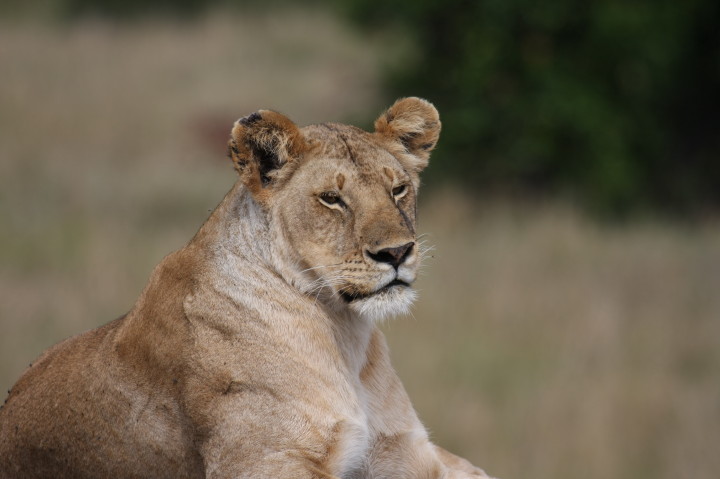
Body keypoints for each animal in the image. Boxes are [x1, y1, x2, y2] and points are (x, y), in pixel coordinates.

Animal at [0, 97, 494, 479]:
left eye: (399, 190)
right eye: (331, 199)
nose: (396, 253)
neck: (344, 330)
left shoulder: (401, 451)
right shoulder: (267, 462)